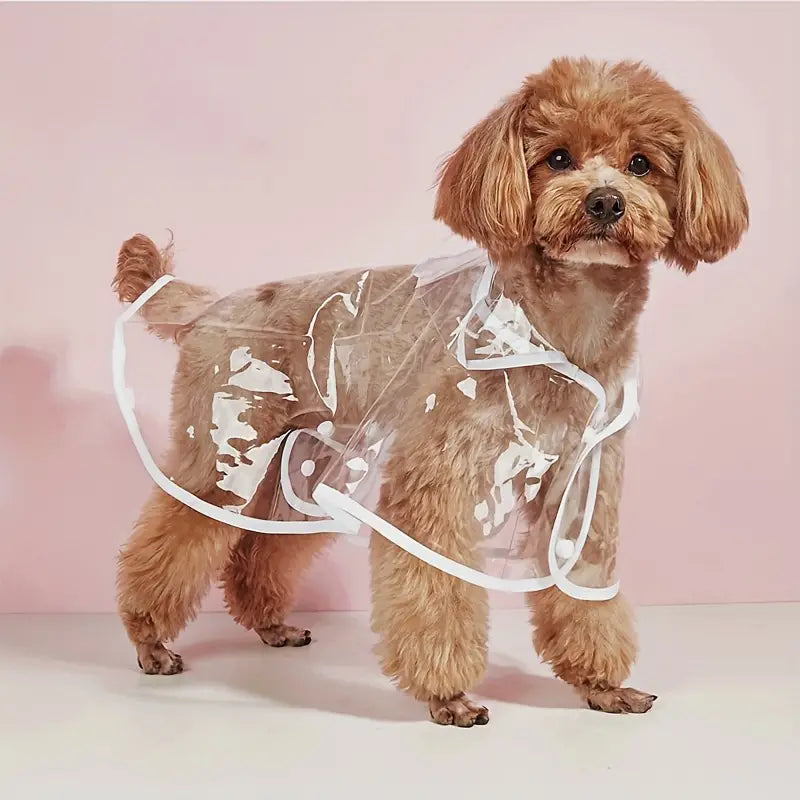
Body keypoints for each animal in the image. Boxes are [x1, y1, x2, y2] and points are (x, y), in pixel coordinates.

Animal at [114, 59, 752, 728]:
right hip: (223, 454)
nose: (605, 201)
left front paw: (601, 684)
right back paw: (149, 641)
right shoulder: (438, 481)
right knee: (171, 537)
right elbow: (436, 585)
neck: (561, 328)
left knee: (260, 548)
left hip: (306, 462)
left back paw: (268, 623)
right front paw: (447, 694)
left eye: (641, 164)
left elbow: (582, 585)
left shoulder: (582, 487)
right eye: (556, 158)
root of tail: (212, 306)